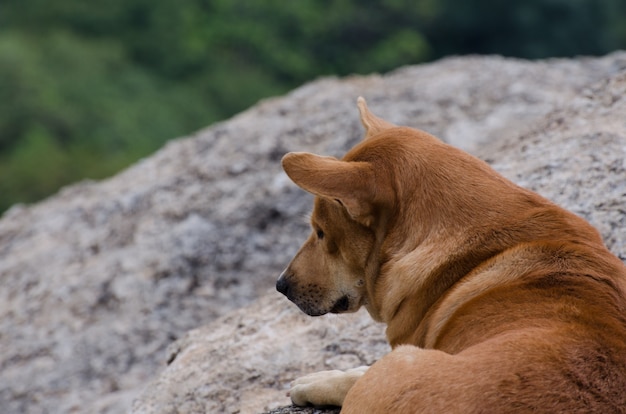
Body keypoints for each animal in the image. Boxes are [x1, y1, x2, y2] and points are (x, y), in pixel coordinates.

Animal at [276, 98, 624, 412]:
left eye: (320, 232)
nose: (280, 285)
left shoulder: (398, 357)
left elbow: (355, 377)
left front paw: (320, 381)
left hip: (402, 361)